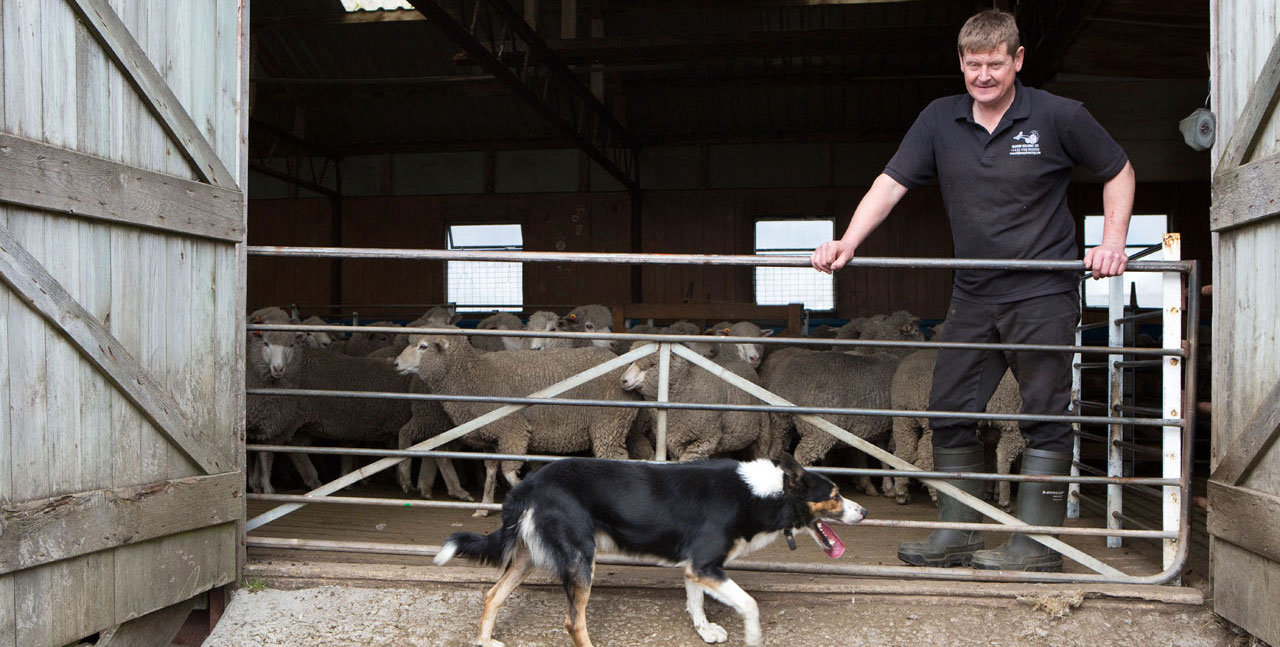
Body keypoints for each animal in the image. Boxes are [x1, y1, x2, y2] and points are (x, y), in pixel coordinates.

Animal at [391, 330, 637, 512]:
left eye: (423, 346)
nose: (395, 364)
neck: (473, 375)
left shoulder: (513, 429)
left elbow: (509, 472)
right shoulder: (491, 437)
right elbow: (491, 470)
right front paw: (484, 507)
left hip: (608, 425)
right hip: (614, 427)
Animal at [435, 453, 865, 645]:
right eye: (835, 495)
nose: (863, 511)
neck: (762, 493)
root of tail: (529, 483)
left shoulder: (696, 566)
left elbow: (695, 602)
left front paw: (704, 631)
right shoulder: (707, 564)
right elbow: (750, 605)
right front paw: (755, 638)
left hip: (527, 558)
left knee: (492, 596)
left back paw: (485, 640)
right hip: (580, 558)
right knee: (574, 622)